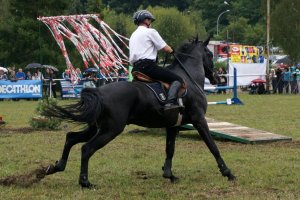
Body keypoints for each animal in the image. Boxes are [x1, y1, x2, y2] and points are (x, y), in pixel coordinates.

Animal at [44, 37, 237, 188]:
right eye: (210, 54)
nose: (217, 78)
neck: (189, 79)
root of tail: (99, 91)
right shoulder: (199, 120)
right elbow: (212, 146)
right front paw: (228, 173)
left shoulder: (172, 126)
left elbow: (170, 149)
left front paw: (169, 175)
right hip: (110, 129)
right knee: (86, 148)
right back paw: (85, 182)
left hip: (96, 127)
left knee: (71, 138)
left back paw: (56, 167)